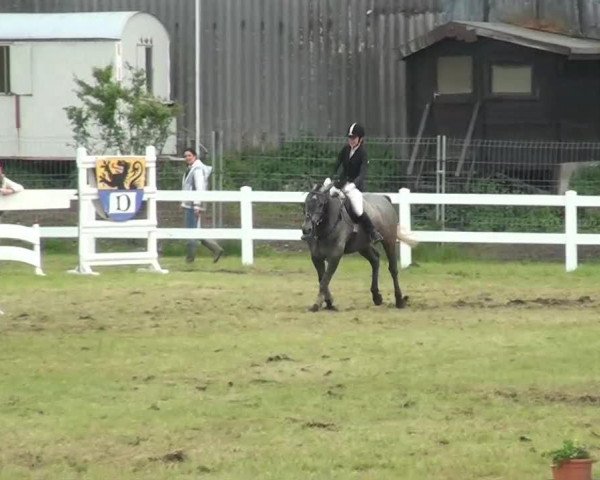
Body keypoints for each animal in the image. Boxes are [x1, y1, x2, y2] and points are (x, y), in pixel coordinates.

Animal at [300, 184, 418, 312]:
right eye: (306, 203)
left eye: (321, 204)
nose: (306, 229)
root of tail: (384, 199)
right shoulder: (316, 257)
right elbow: (322, 280)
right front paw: (329, 302)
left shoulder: (335, 256)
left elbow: (325, 280)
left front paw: (317, 304)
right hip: (363, 246)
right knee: (375, 260)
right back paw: (377, 296)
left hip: (389, 242)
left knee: (393, 269)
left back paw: (399, 300)